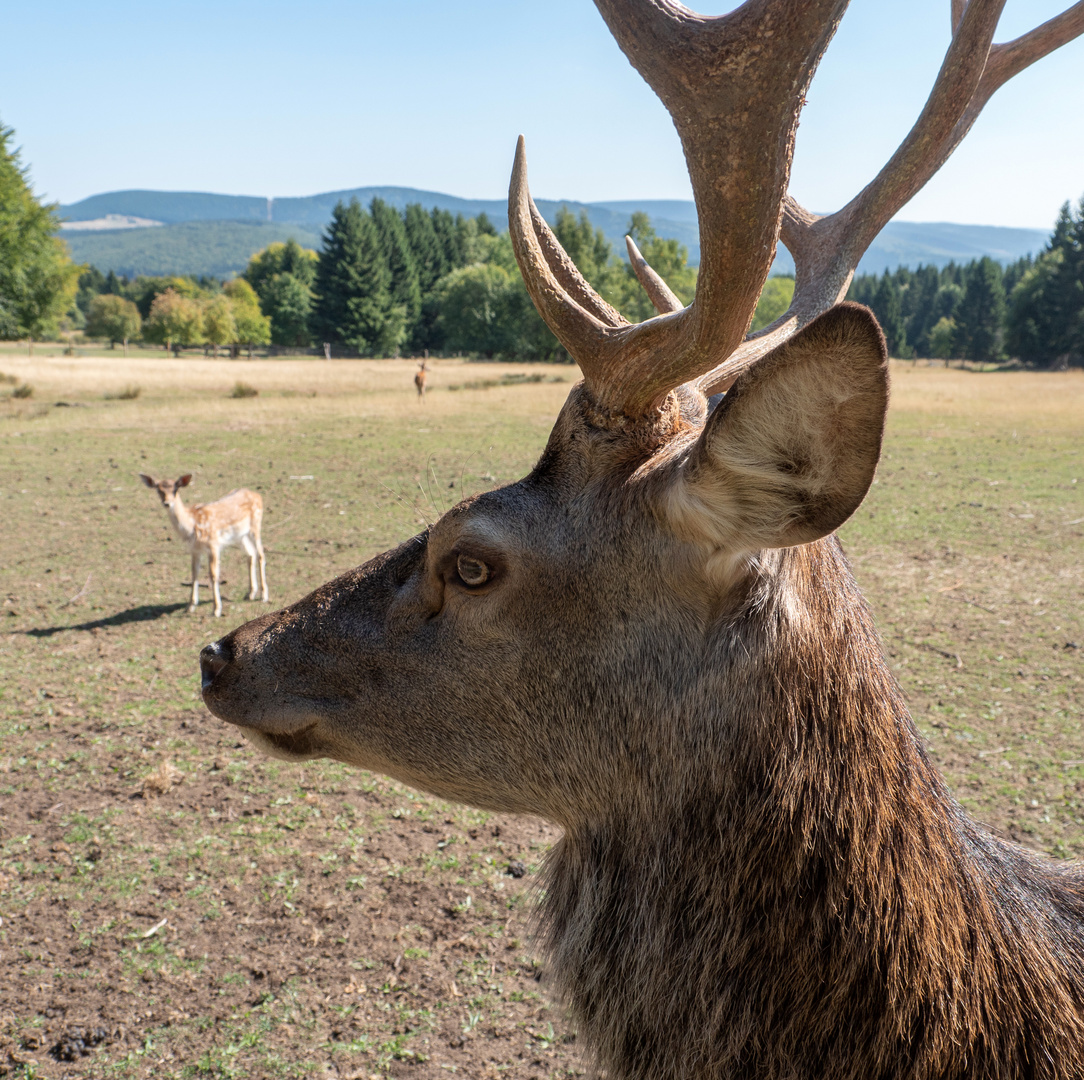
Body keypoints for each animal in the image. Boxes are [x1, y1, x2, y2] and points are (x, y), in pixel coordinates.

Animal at [139, 472, 268, 615]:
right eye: (158, 489)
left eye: (176, 489)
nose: (167, 503)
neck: (192, 526)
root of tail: (257, 495)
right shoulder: (194, 549)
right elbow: (194, 573)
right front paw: (190, 606)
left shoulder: (213, 544)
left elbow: (213, 575)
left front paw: (216, 609)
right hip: (239, 536)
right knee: (251, 554)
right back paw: (250, 594)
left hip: (255, 525)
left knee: (261, 554)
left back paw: (264, 596)